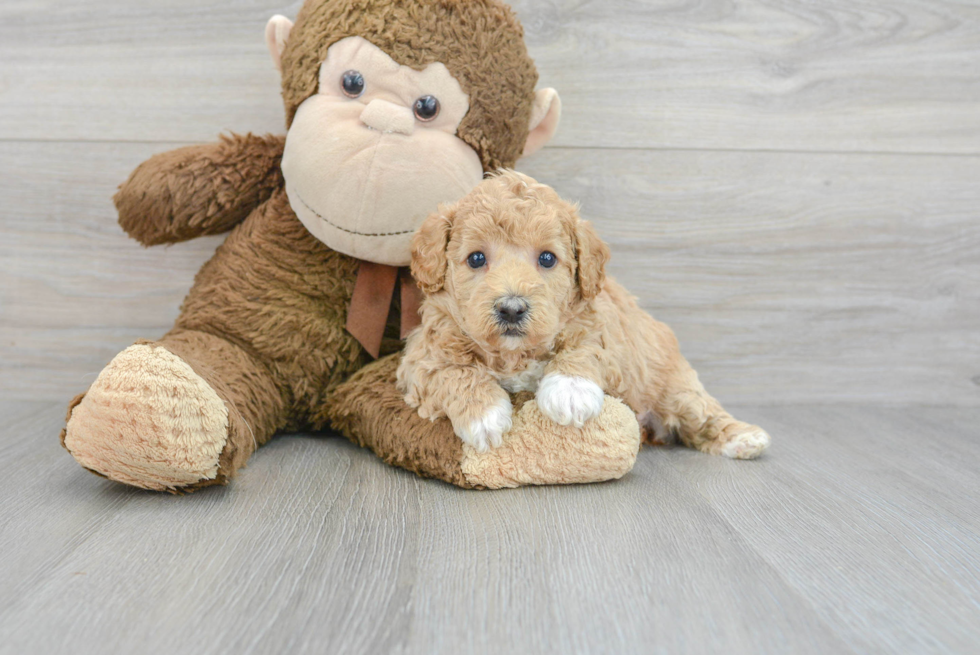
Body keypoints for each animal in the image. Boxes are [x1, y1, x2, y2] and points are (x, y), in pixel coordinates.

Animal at [394, 168, 768, 462]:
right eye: (476, 258)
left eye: (547, 258)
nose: (512, 308)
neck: (515, 356)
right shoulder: (422, 355)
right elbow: (453, 372)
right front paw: (484, 417)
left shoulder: (607, 333)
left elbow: (584, 347)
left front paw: (570, 392)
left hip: (672, 385)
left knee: (702, 413)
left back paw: (744, 438)